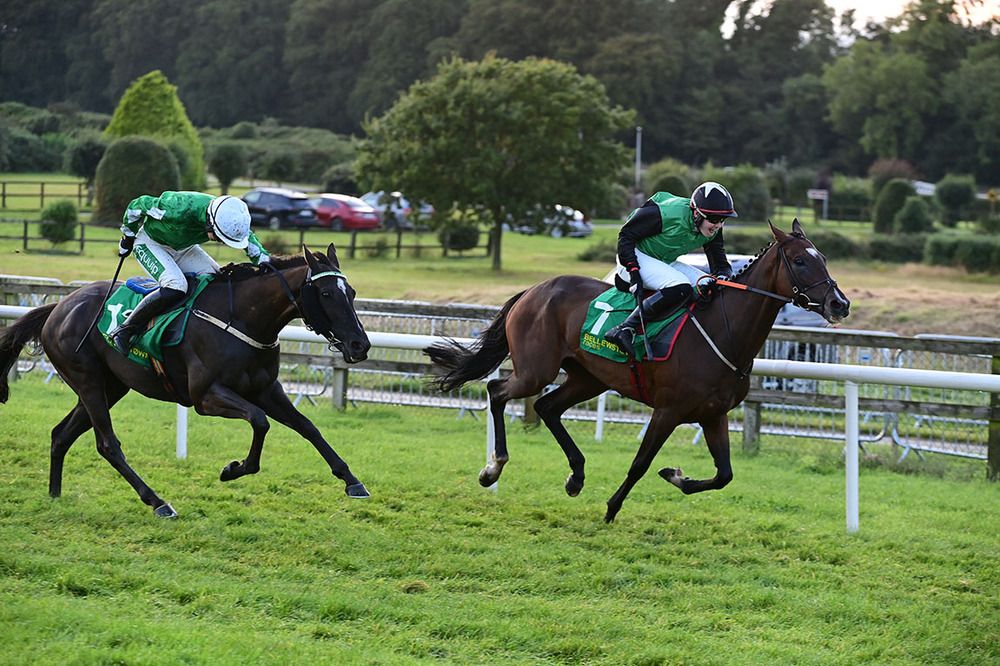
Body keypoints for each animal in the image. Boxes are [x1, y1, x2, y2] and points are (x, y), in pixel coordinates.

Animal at [0, 241, 374, 516]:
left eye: (353, 292)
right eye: (326, 294)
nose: (360, 345)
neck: (243, 318)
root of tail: (59, 307)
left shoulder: (266, 389)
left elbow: (308, 427)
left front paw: (351, 480)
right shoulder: (206, 397)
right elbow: (260, 421)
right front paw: (234, 468)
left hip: (111, 385)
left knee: (61, 434)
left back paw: (54, 495)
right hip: (88, 380)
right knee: (107, 444)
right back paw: (158, 502)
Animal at [426, 218, 848, 520]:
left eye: (824, 259)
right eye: (800, 261)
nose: (839, 304)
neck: (723, 332)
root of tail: (533, 290)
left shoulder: (713, 415)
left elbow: (724, 475)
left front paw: (676, 476)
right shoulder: (669, 411)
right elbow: (640, 463)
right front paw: (612, 508)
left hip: (588, 378)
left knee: (546, 407)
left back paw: (576, 476)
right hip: (536, 371)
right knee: (498, 392)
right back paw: (493, 468)